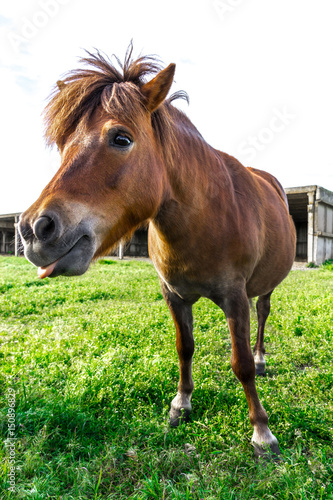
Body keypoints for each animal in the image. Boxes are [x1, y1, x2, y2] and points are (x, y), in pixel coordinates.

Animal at [19, 47, 294, 458]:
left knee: (263, 313)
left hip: (264, 286)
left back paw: (263, 358)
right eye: (64, 144)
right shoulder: (174, 295)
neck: (205, 216)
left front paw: (261, 430)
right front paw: (182, 403)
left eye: (121, 138)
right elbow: (185, 348)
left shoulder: (234, 296)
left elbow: (241, 363)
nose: (34, 230)